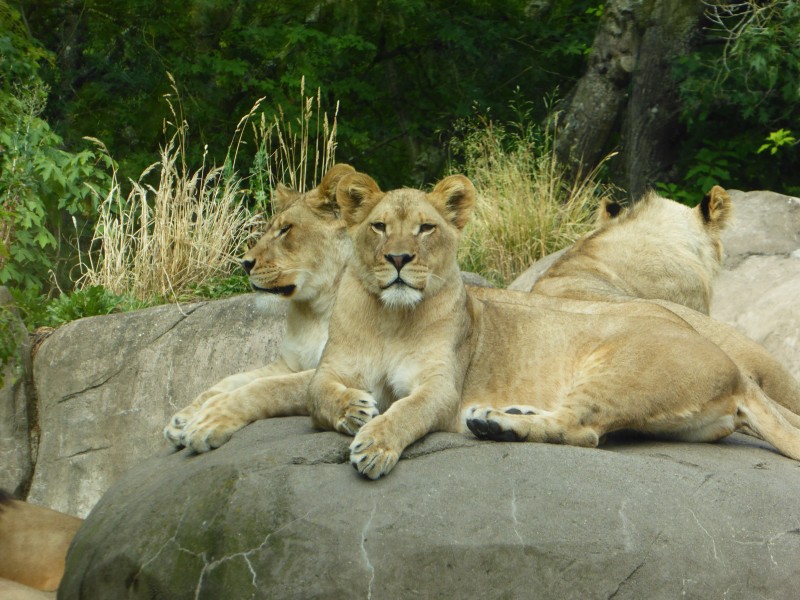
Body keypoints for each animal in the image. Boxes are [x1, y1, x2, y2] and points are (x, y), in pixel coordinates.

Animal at [308, 171, 800, 480]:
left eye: (425, 228)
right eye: (379, 227)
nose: (398, 258)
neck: (389, 318)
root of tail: (736, 373)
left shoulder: (441, 387)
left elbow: (406, 412)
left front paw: (376, 444)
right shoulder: (330, 369)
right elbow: (319, 395)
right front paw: (354, 411)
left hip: (619, 371)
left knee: (581, 430)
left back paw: (493, 424)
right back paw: (508, 416)